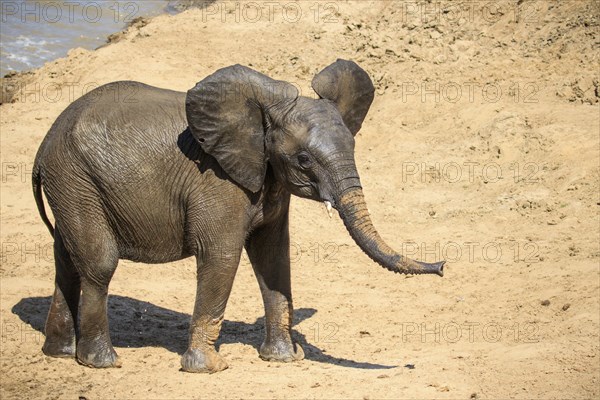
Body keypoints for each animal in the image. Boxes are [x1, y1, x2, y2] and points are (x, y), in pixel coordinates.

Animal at [32, 58, 446, 372]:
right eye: (304, 159)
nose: (443, 266)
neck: (261, 119)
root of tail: (44, 145)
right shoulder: (218, 182)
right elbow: (222, 255)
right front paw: (209, 368)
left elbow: (273, 256)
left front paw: (284, 359)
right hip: (76, 179)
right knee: (99, 263)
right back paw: (101, 361)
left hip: (71, 186)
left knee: (67, 261)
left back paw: (60, 353)